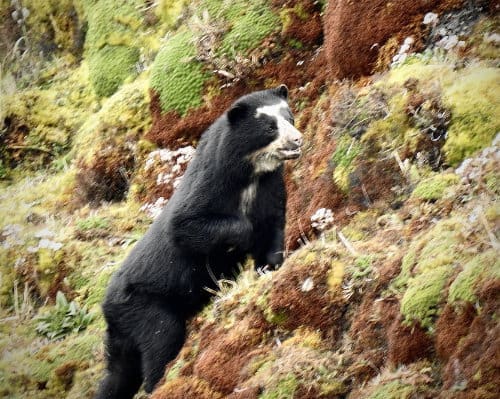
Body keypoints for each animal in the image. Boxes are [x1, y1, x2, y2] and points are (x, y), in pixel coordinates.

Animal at [95, 83, 302, 398]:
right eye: (269, 126)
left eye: (289, 117)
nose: (297, 140)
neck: (250, 174)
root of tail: (107, 306)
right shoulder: (209, 187)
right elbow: (186, 226)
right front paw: (242, 238)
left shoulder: (271, 187)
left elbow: (274, 227)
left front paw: (270, 269)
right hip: (143, 307)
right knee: (160, 341)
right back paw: (158, 383)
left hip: (123, 333)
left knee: (118, 374)